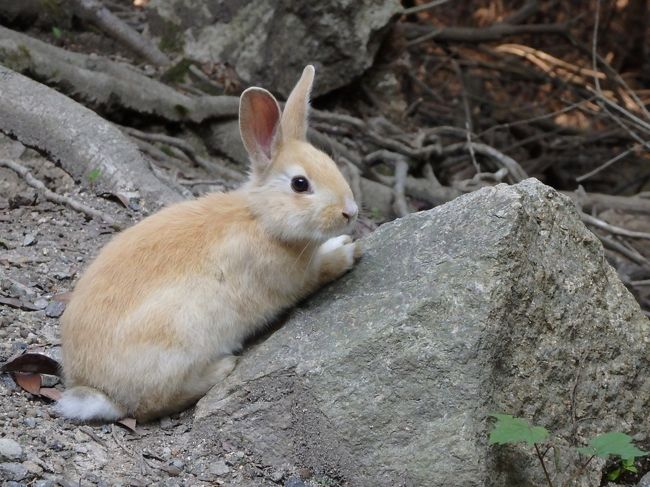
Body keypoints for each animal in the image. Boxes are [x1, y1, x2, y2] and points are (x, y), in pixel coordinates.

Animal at [55, 65, 360, 424]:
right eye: (300, 184)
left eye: (331, 163)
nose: (351, 212)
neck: (261, 218)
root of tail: (96, 391)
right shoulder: (295, 278)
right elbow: (320, 272)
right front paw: (348, 252)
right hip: (180, 338)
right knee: (154, 403)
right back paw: (222, 367)